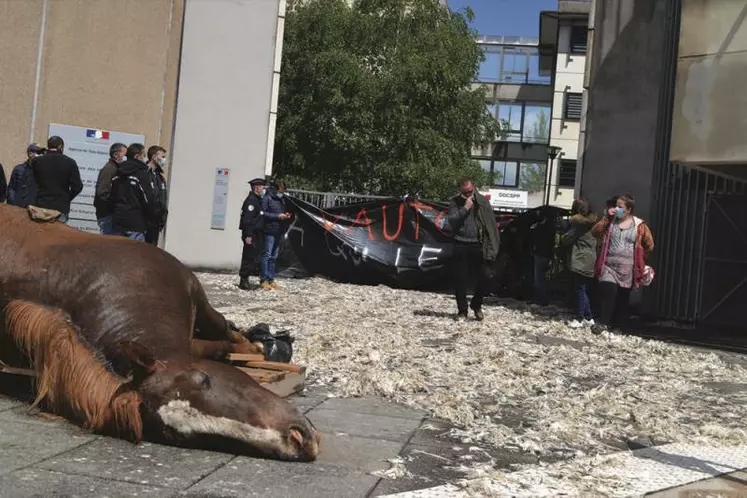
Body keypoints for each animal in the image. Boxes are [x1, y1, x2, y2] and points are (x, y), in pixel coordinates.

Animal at [0, 204, 318, 462]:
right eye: (182, 437)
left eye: (204, 379)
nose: (296, 438)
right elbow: (220, 343)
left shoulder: (196, 295)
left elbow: (224, 334)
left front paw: (258, 346)